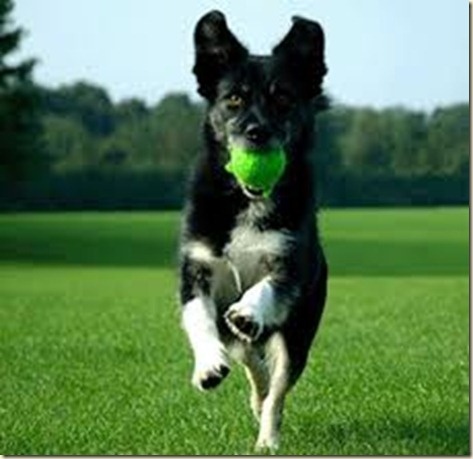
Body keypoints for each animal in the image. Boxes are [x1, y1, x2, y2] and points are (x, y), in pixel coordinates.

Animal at [178, 10, 328, 452]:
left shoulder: (289, 265)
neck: (246, 200)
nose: (256, 133)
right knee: (252, 365)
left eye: (283, 98)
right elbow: (199, 318)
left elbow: (267, 289)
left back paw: (267, 437)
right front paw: (208, 365)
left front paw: (248, 311)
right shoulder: (196, 269)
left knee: (276, 390)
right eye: (234, 99)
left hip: (297, 336)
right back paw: (251, 392)